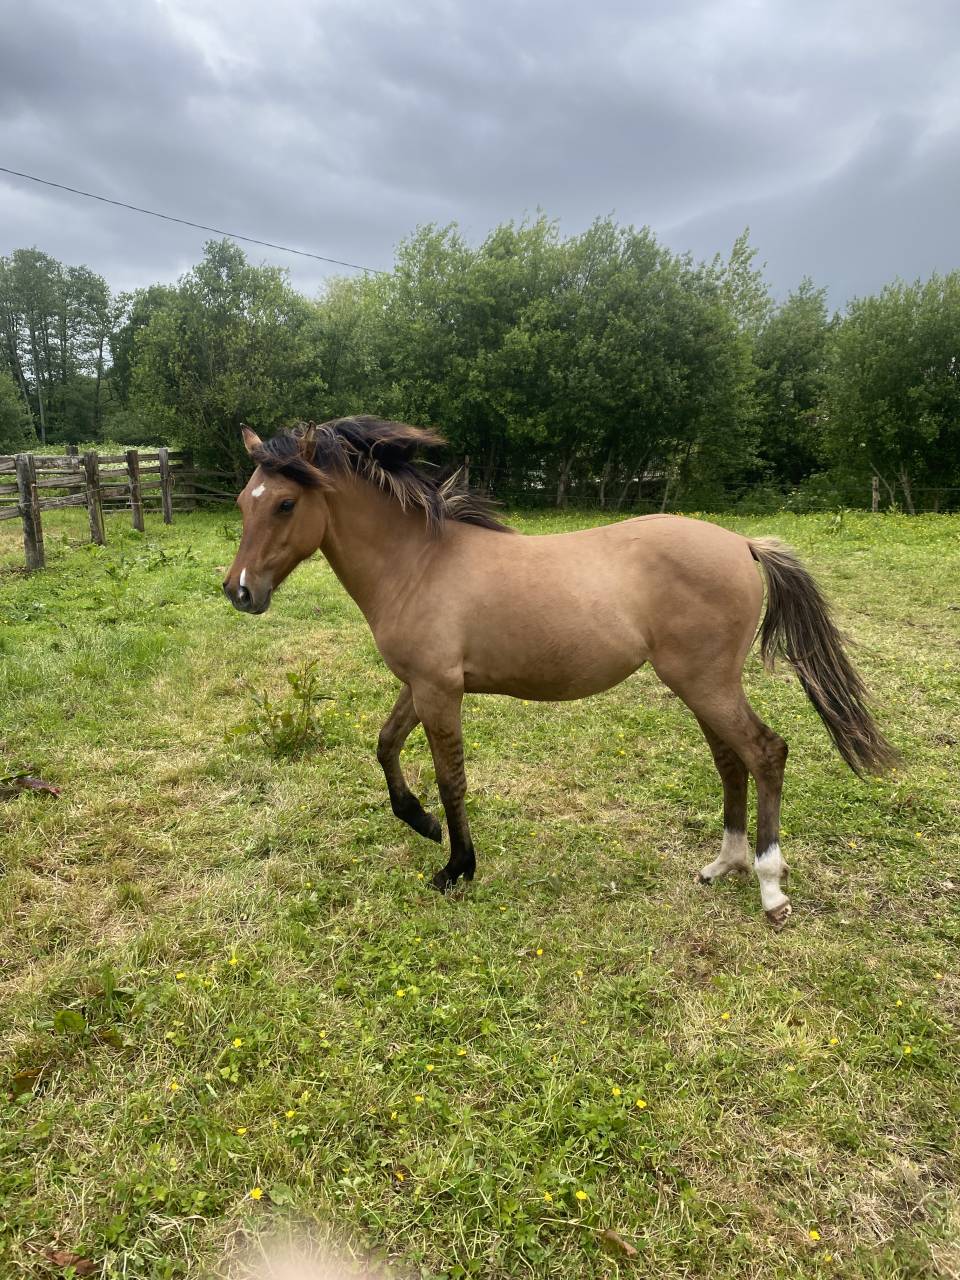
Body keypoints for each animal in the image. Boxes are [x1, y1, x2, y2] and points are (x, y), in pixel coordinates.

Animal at [224, 417, 895, 927]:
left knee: (765, 753)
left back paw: (770, 888)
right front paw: (423, 824)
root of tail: (743, 544)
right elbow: (386, 745)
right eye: (241, 502)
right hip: (701, 686)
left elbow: (451, 779)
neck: (417, 564)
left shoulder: (440, 690)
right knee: (732, 760)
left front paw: (457, 867)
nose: (239, 592)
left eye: (285, 503)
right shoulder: (420, 685)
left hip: (707, 682)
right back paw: (722, 865)